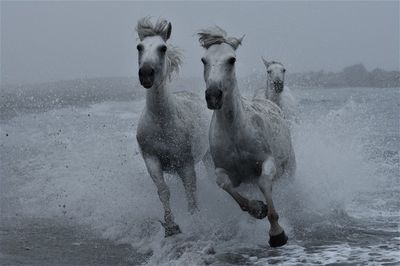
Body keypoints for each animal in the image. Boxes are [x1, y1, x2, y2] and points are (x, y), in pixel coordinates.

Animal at [135, 18, 209, 237]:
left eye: (163, 47)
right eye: (139, 47)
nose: (146, 74)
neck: (163, 122)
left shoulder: (186, 163)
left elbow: (190, 191)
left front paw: (194, 219)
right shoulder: (151, 160)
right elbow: (163, 191)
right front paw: (171, 225)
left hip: (208, 157)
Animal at [198, 26, 296, 247]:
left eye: (232, 59)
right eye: (203, 60)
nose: (213, 95)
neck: (235, 132)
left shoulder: (267, 162)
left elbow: (264, 183)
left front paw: (277, 234)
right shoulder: (227, 172)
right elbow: (224, 184)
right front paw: (257, 209)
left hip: (290, 169)